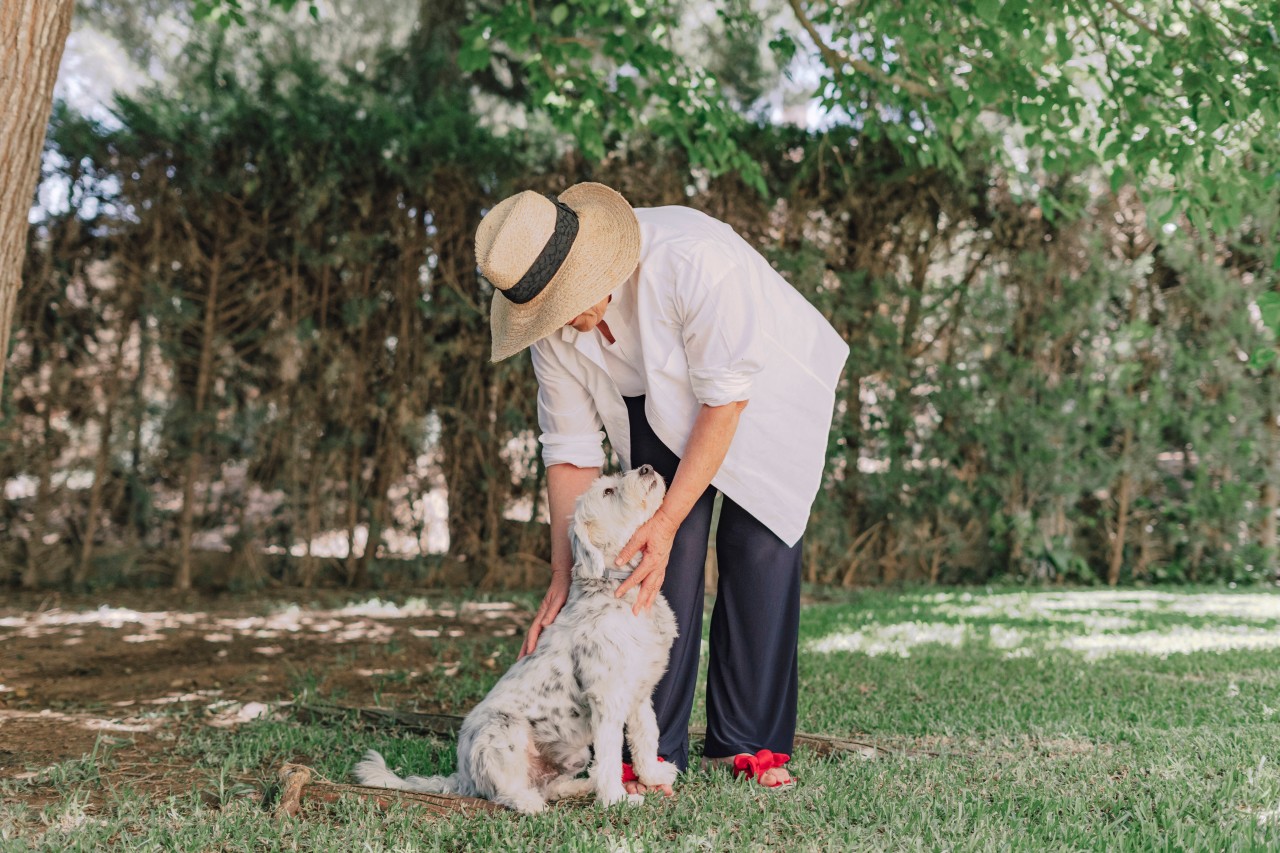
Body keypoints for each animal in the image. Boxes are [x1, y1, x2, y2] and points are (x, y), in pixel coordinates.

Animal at [350, 466, 680, 809]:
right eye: (607, 491)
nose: (646, 468)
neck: (619, 590)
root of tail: (463, 776)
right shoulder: (607, 698)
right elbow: (610, 757)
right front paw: (616, 799)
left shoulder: (640, 693)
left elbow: (646, 738)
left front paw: (653, 776)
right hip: (503, 731)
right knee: (503, 790)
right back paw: (530, 803)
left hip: (572, 752)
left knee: (548, 785)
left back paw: (578, 787)